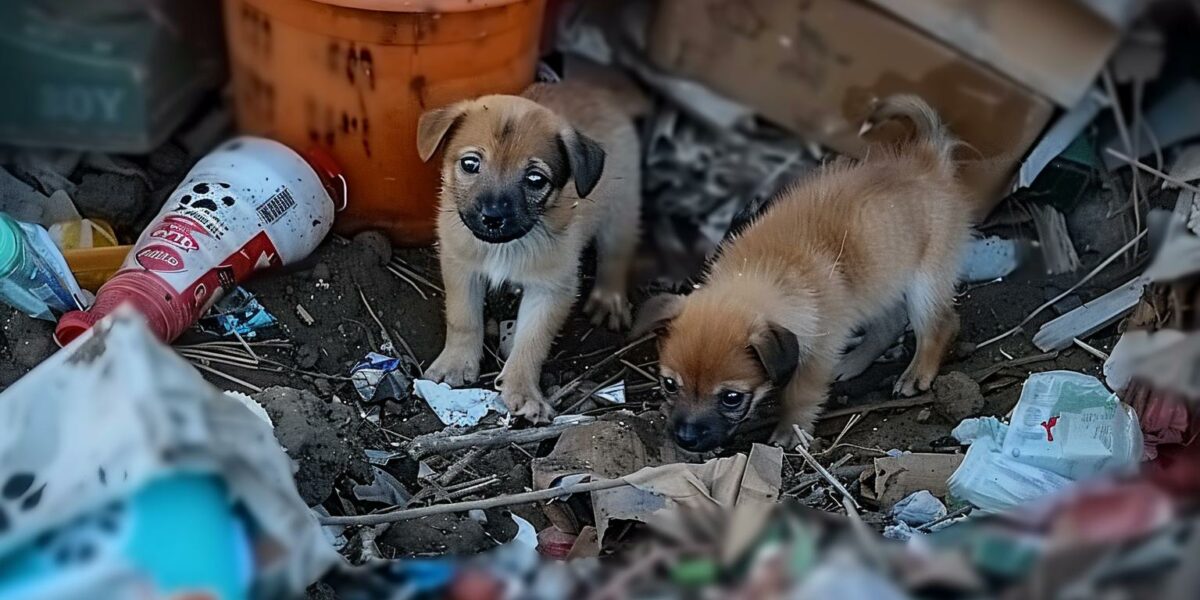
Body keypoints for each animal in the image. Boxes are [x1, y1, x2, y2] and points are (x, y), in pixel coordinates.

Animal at [417, 81, 643, 422]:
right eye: (470, 164)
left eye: (535, 179)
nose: (492, 217)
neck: (505, 246)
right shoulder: (460, 266)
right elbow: (463, 319)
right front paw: (455, 364)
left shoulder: (552, 289)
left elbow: (532, 343)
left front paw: (523, 390)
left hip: (620, 211)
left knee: (615, 258)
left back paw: (609, 301)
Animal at [638, 94, 964, 451]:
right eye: (669, 384)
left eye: (731, 398)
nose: (686, 439)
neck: (763, 272)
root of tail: (926, 160)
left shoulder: (817, 353)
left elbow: (800, 395)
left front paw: (789, 431)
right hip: (880, 282)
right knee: (890, 323)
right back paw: (853, 363)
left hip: (925, 281)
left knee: (942, 323)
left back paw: (916, 374)